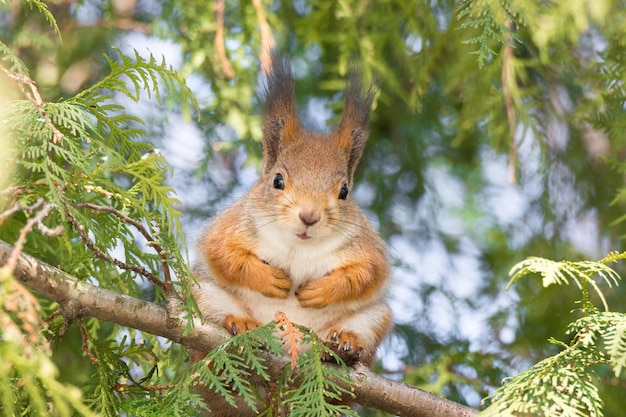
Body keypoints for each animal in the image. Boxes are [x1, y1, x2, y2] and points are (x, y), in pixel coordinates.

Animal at [190, 50, 390, 414]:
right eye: (278, 180)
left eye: (344, 191)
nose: (309, 216)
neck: (299, 245)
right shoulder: (233, 224)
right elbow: (223, 253)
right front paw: (270, 279)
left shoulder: (366, 245)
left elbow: (367, 273)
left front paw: (321, 290)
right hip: (203, 298)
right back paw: (239, 324)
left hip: (375, 318)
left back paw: (345, 344)